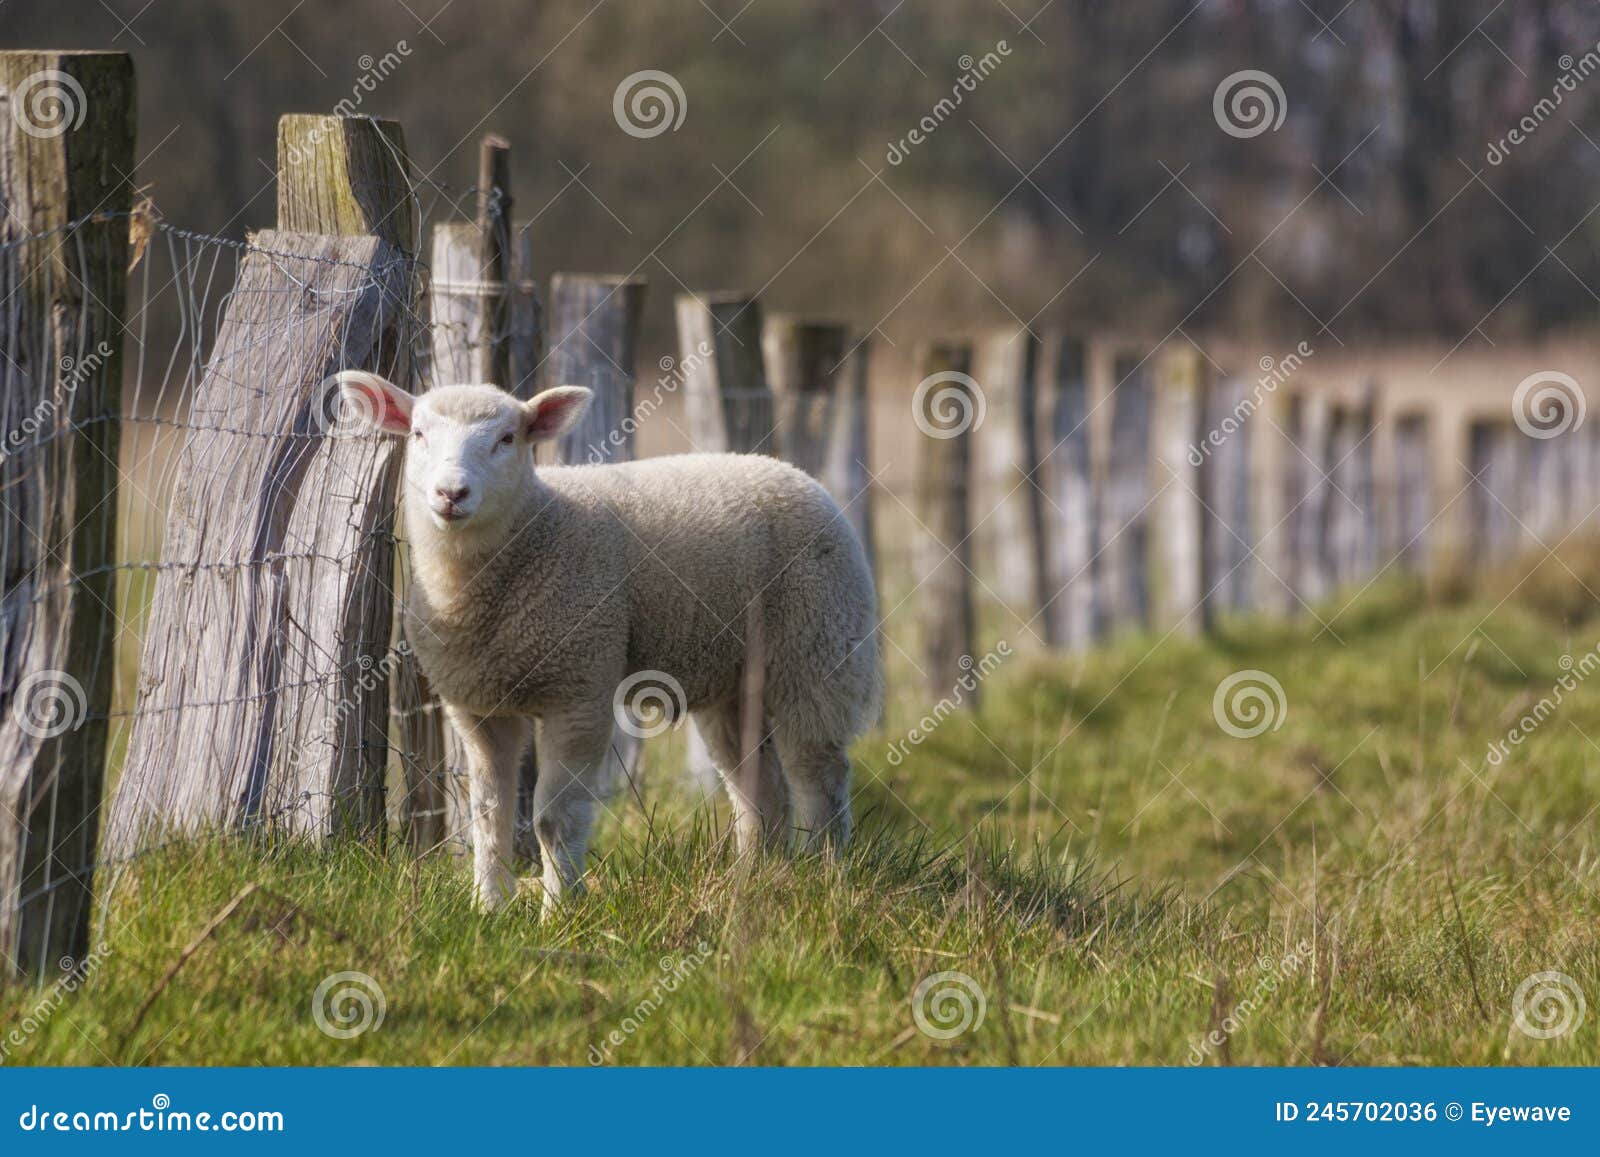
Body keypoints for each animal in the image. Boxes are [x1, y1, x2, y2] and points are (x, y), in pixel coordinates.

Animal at [334, 370, 882, 914]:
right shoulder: (478, 708)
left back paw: (823, 877)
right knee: (758, 786)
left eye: (507, 439)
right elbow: (488, 814)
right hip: (735, 678)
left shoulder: (579, 690)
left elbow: (554, 818)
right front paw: (488, 907)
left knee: (818, 774)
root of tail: (794, 474)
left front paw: (559, 911)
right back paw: (753, 880)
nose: (451, 493)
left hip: (816, 647)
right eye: (419, 433)